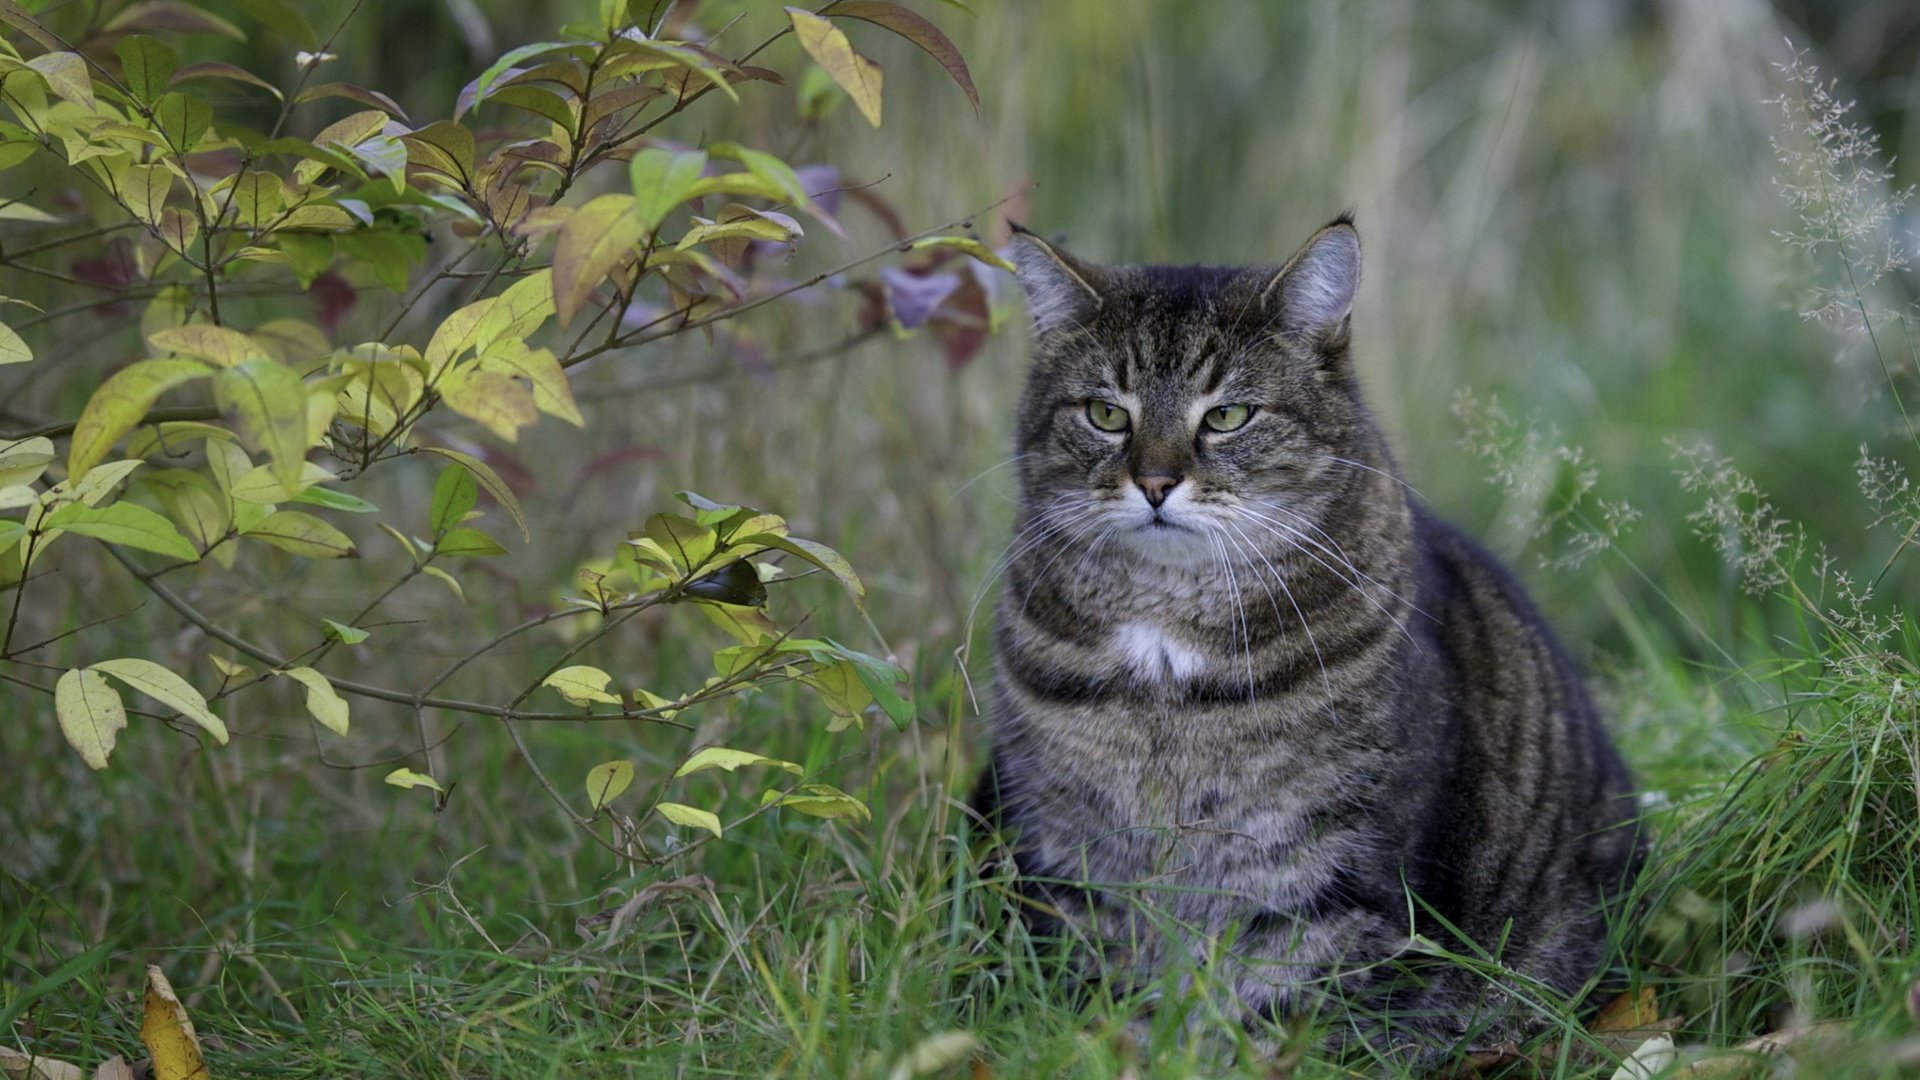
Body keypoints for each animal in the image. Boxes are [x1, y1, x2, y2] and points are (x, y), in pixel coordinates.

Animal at [975, 216, 1651, 1053]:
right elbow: (1103, 986)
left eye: (1228, 415)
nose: (1155, 482)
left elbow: (1286, 1015)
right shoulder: (1068, 852)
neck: (1165, 639)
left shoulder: (1332, 873)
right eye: (1106, 414)